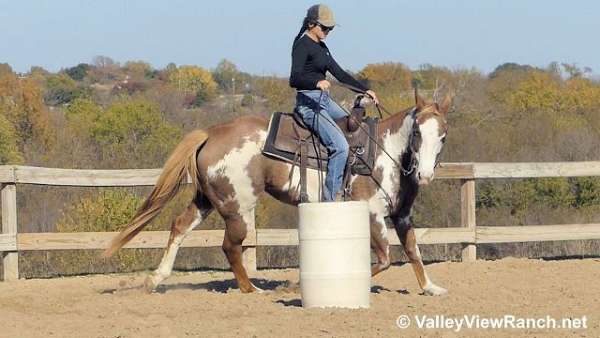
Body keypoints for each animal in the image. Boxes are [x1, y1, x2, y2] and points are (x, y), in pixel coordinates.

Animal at [104, 90, 450, 296]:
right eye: (417, 132)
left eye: (443, 135)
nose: (425, 175)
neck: (385, 153)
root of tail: (212, 133)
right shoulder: (373, 214)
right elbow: (385, 259)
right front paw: (296, 286)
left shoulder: (402, 216)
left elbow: (414, 252)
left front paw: (431, 288)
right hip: (238, 207)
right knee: (230, 245)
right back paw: (250, 289)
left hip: (207, 200)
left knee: (179, 227)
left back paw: (155, 279)